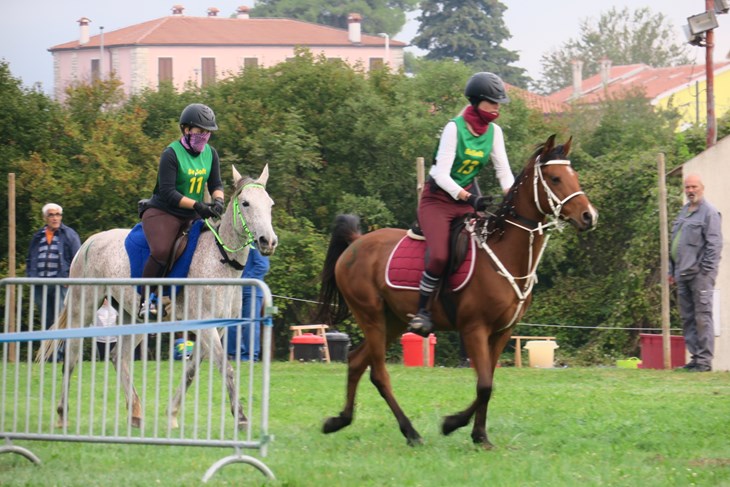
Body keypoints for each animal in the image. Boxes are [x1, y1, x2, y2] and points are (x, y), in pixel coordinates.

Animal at [37, 167, 276, 430]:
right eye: (245, 203)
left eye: (270, 205)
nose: (268, 241)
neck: (220, 259)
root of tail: (88, 243)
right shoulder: (206, 326)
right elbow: (226, 368)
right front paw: (241, 418)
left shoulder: (218, 328)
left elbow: (191, 371)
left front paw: (172, 414)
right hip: (84, 306)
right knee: (71, 357)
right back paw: (62, 415)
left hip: (135, 317)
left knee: (118, 356)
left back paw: (135, 413)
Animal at [316, 135, 596, 448]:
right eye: (555, 178)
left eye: (574, 175)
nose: (589, 216)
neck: (504, 252)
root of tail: (356, 242)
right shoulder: (474, 328)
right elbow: (484, 385)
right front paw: (454, 424)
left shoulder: (502, 332)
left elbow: (488, 382)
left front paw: (479, 435)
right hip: (371, 316)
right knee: (378, 373)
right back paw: (410, 432)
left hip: (393, 321)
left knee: (355, 362)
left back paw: (339, 421)